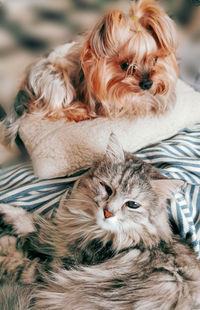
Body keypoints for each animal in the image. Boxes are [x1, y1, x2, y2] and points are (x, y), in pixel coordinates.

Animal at [0, 134, 200, 308]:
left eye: (132, 204)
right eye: (107, 189)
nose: (108, 212)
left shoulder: (63, 264)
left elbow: (24, 258)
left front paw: (6, 244)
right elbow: (32, 223)